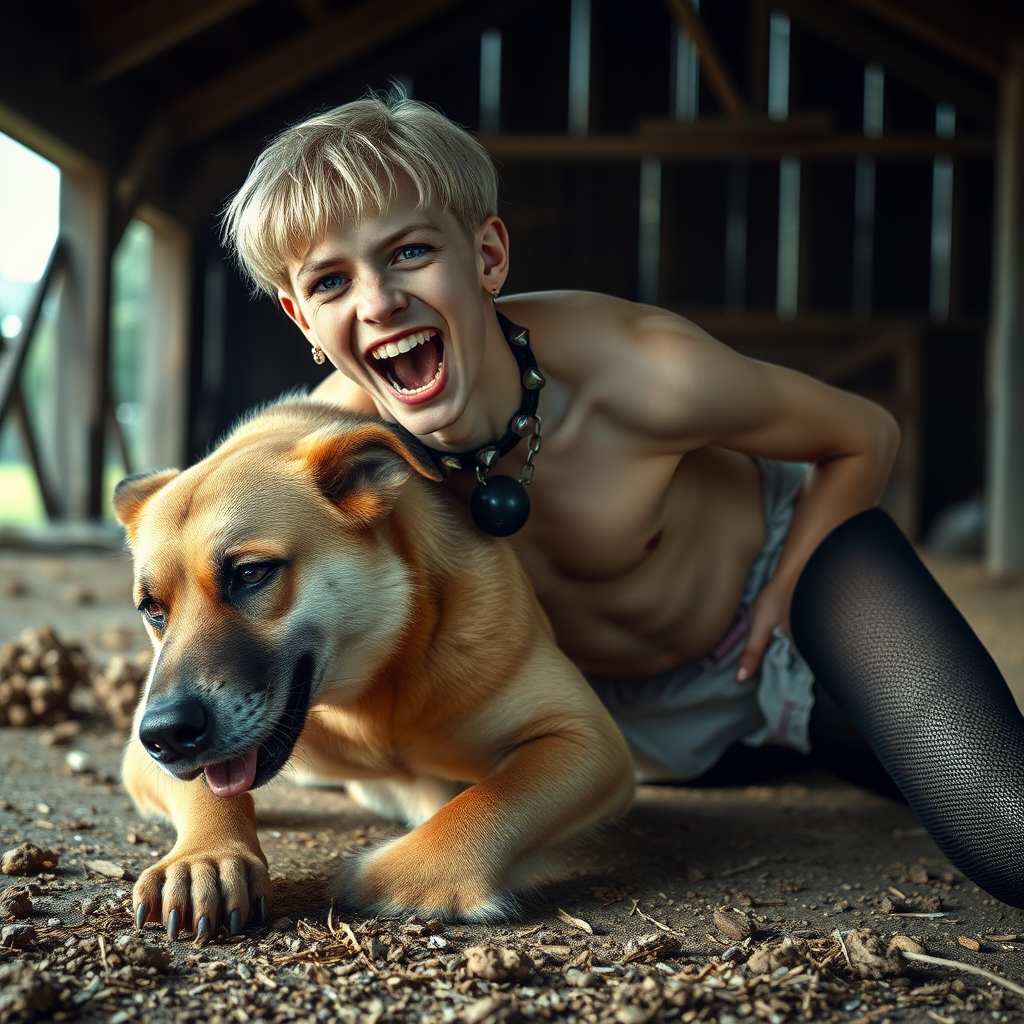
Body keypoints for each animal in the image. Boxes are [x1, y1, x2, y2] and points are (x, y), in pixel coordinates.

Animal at [116, 399, 634, 942]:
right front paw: (207, 859)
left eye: (250, 573)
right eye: (153, 608)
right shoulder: (139, 753)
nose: (166, 735)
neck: (379, 691)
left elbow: (492, 799)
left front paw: (404, 876)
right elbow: (205, 790)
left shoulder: (587, 738)